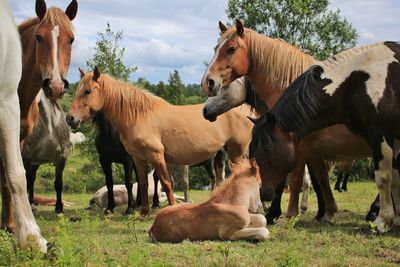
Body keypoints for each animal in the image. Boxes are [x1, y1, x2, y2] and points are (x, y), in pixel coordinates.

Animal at [1, 0, 77, 237]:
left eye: (71, 39)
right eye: (39, 37)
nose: (55, 86)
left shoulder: (18, 139)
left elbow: (10, 179)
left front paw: (9, 224)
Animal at [67, 68, 252, 219]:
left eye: (88, 91)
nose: (70, 119)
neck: (140, 116)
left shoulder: (157, 156)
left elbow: (166, 183)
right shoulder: (138, 158)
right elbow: (143, 184)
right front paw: (143, 213)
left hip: (236, 152)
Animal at [203, 20, 376, 224]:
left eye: (231, 49)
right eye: (216, 48)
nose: (208, 83)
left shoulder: (301, 145)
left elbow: (293, 179)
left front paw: (283, 213)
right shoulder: (312, 150)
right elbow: (320, 180)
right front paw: (325, 212)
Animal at [250, 40, 400, 233]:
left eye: (268, 151)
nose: (264, 194)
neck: (354, 83)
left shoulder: (380, 134)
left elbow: (384, 178)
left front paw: (383, 221)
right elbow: (396, 180)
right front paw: (396, 219)